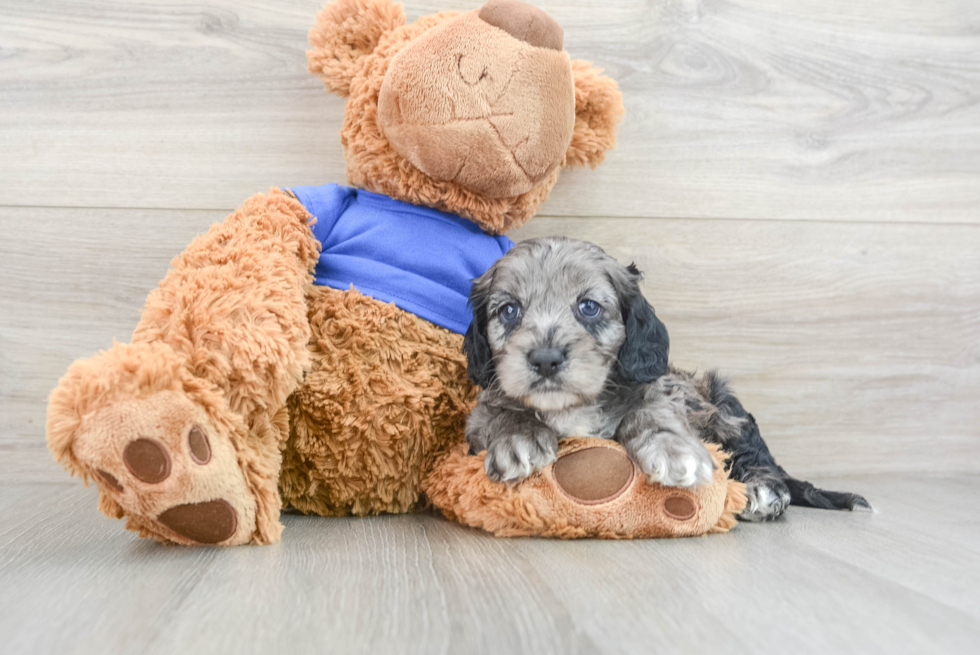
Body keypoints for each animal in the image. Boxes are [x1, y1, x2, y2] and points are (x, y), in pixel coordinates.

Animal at [464, 238, 868, 520]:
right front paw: (518, 437)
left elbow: (651, 414)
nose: (545, 360)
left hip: (725, 408)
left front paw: (674, 450)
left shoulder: (661, 391)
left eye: (588, 307)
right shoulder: (480, 414)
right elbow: (500, 413)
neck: (572, 407)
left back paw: (760, 492)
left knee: (759, 460)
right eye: (509, 310)